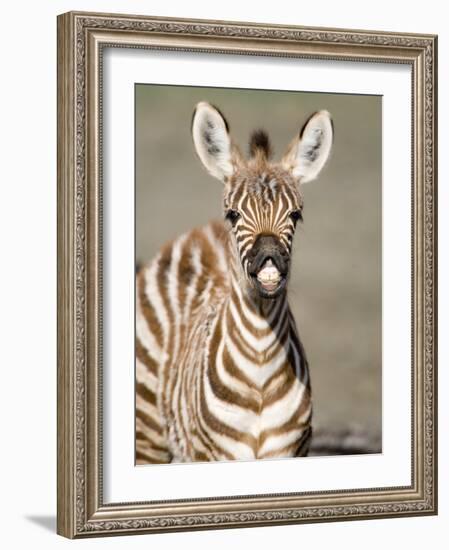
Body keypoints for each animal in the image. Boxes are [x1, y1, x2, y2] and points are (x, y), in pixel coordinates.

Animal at [136, 103, 332, 466]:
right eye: (233, 215)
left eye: (295, 215)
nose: (269, 261)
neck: (260, 366)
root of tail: (200, 232)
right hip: (148, 434)